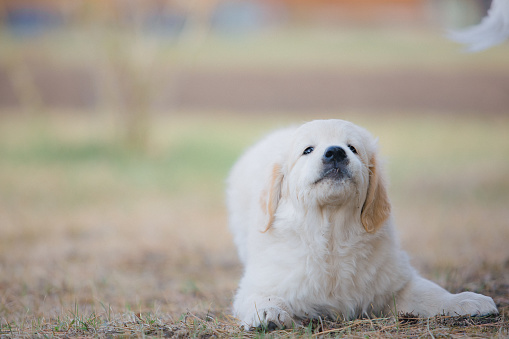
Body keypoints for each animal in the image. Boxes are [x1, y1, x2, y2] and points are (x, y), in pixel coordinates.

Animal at [226, 119, 496, 330]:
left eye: (352, 148)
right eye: (308, 150)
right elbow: (261, 296)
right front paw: (269, 313)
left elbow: (431, 292)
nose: (335, 152)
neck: (332, 234)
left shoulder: (394, 280)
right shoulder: (259, 281)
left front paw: (464, 300)